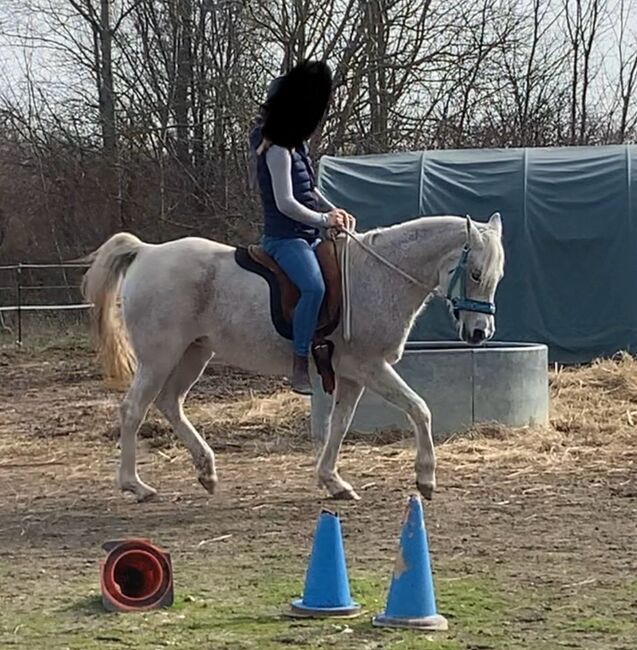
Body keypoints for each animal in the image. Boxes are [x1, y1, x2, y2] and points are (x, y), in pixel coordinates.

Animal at [83, 213, 502, 502]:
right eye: (475, 273)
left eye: (497, 276)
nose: (479, 333)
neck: (378, 275)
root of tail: (147, 252)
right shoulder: (370, 367)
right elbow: (419, 409)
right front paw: (426, 478)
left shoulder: (352, 376)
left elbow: (339, 425)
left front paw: (334, 482)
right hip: (159, 356)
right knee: (134, 409)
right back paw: (135, 486)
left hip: (193, 353)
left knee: (170, 403)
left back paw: (206, 471)